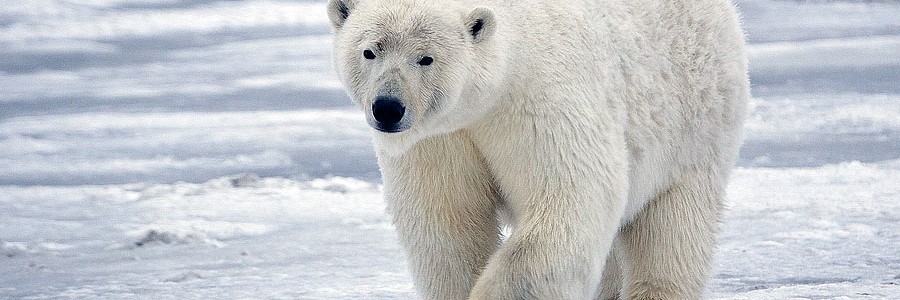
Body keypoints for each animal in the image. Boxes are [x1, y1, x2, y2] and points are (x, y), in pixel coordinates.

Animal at [326, 0, 748, 298]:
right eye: (369, 51)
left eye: (425, 57)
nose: (387, 108)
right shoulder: (440, 139)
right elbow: (448, 222)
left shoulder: (540, 101)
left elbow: (569, 198)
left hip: (694, 122)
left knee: (673, 229)